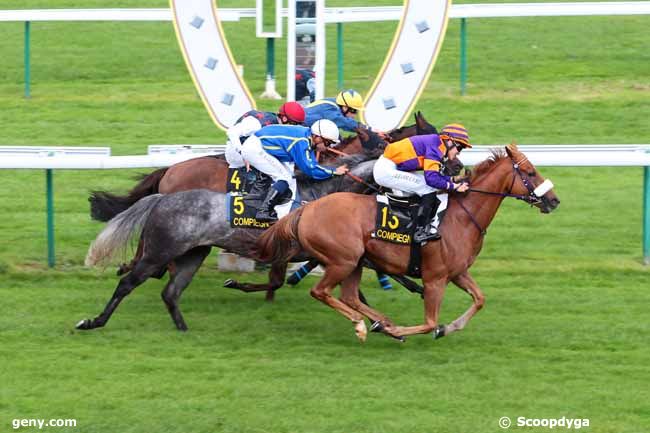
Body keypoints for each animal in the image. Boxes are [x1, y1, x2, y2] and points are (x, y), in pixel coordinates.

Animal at [256, 145, 560, 340]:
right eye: (530, 173)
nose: (554, 200)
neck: (462, 216)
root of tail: (305, 209)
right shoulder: (435, 278)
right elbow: (429, 322)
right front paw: (413, 330)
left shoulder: (458, 272)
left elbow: (480, 299)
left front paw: (449, 327)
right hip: (342, 260)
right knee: (320, 292)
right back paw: (365, 325)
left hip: (354, 262)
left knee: (348, 296)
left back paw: (381, 322)